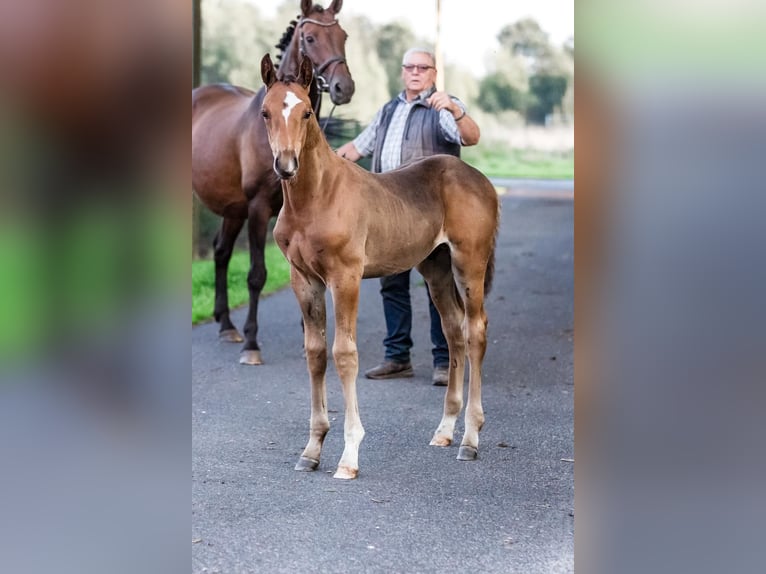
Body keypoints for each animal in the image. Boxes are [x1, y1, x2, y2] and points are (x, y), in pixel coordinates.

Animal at [192, 0, 354, 364]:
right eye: (309, 37)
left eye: (343, 36)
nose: (344, 87)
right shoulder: (258, 209)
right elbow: (256, 275)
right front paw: (252, 344)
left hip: (232, 209)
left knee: (221, 252)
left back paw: (226, 324)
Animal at [260, 55, 500, 482]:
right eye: (265, 112)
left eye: (307, 112)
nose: (286, 165)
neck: (315, 198)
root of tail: (481, 180)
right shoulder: (303, 280)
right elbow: (315, 353)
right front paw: (312, 449)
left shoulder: (346, 278)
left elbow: (344, 354)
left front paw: (348, 456)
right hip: (436, 268)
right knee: (453, 330)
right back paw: (445, 430)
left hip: (468, 262)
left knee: (475, 332)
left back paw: (471, 438)